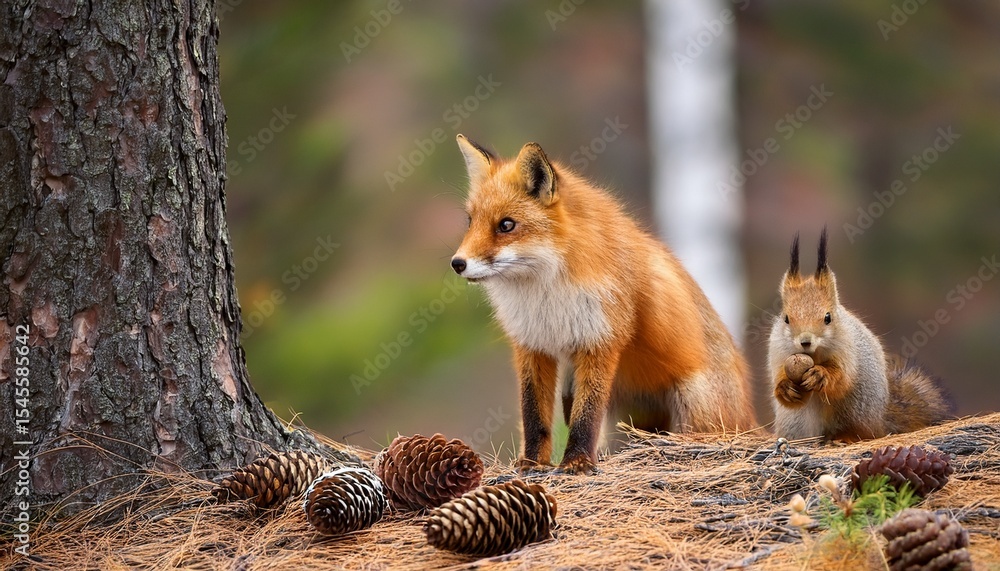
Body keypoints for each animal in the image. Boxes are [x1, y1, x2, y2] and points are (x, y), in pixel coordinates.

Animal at [450, 134, 756, 474]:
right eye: (470, 221)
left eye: (506, 225)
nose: (457, 263)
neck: (546, 296)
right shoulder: (532, 345)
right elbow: (534, 415)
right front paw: (532, 464)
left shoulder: (600, 341)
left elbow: (586, 415)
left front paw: (577, 463)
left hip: (693, 410)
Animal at [767, 229, 952, 441]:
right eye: (786, 319)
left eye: (828, 317)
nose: (805, 341)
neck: (814, 354)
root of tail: (880, 419)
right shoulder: (778, 351)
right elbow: (782, 382)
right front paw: (785, 388)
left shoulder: (847, 349)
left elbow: (842, 378)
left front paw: (820, 375)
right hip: (794, 421)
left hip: (856, 408)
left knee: (859, 431)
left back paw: (842, 439)